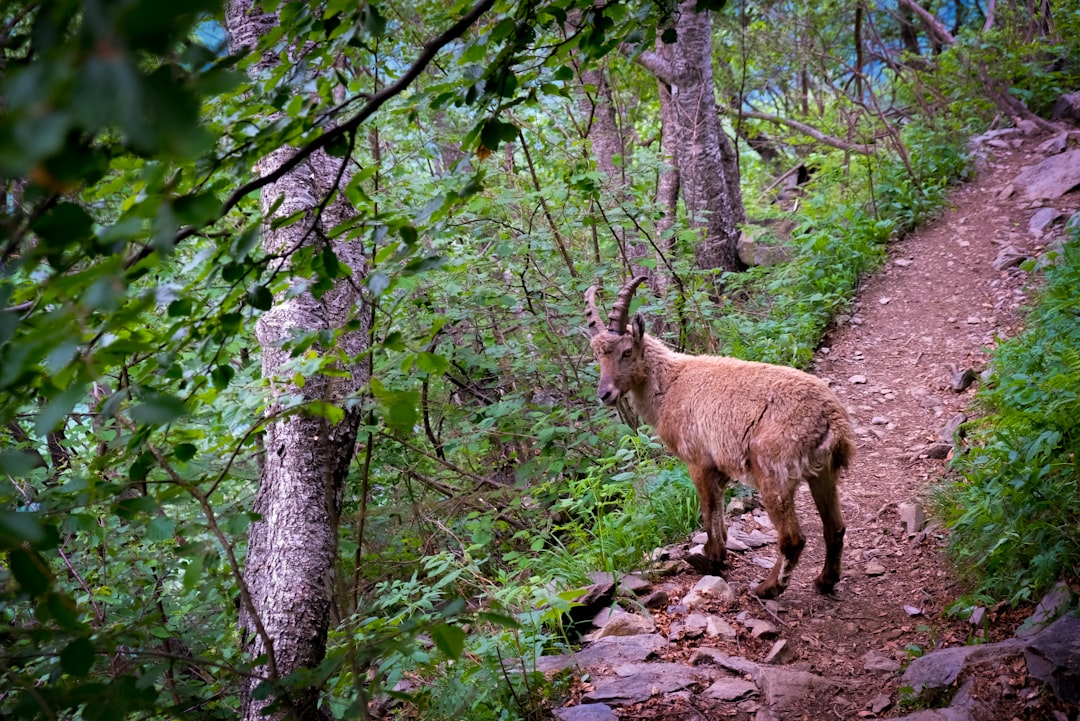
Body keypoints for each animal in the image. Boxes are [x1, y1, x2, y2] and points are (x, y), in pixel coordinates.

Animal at [587, 276, 855, 595]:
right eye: (597, 355)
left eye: (627, 351)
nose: (605, 394)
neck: (670, 384)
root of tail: (830, 417)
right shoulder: (719, 465)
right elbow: (718, 510)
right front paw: (716, 553)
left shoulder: (697, 461)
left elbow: (707, 510)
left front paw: (711, 559)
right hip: (822, 472)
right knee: (834, 527)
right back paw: (825, 580)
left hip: (774, 475)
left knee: (792, 538)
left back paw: (768, 588)